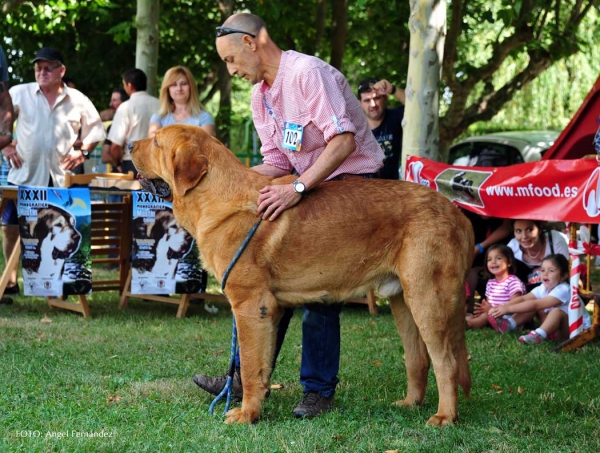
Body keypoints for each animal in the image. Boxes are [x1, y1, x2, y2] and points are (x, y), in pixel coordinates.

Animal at [131, 122, 474, 424]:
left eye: (157, 142)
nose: (132, 145)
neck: (215, 194)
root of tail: (457, 213)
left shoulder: (249, 305)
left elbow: (251, 364)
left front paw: (246, 415)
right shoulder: (269, 310)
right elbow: (259, 365)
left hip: (428, 299)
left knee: (447, 361)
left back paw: (445, 416)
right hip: (403, 301)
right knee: (418, 358)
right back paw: (410, 403)